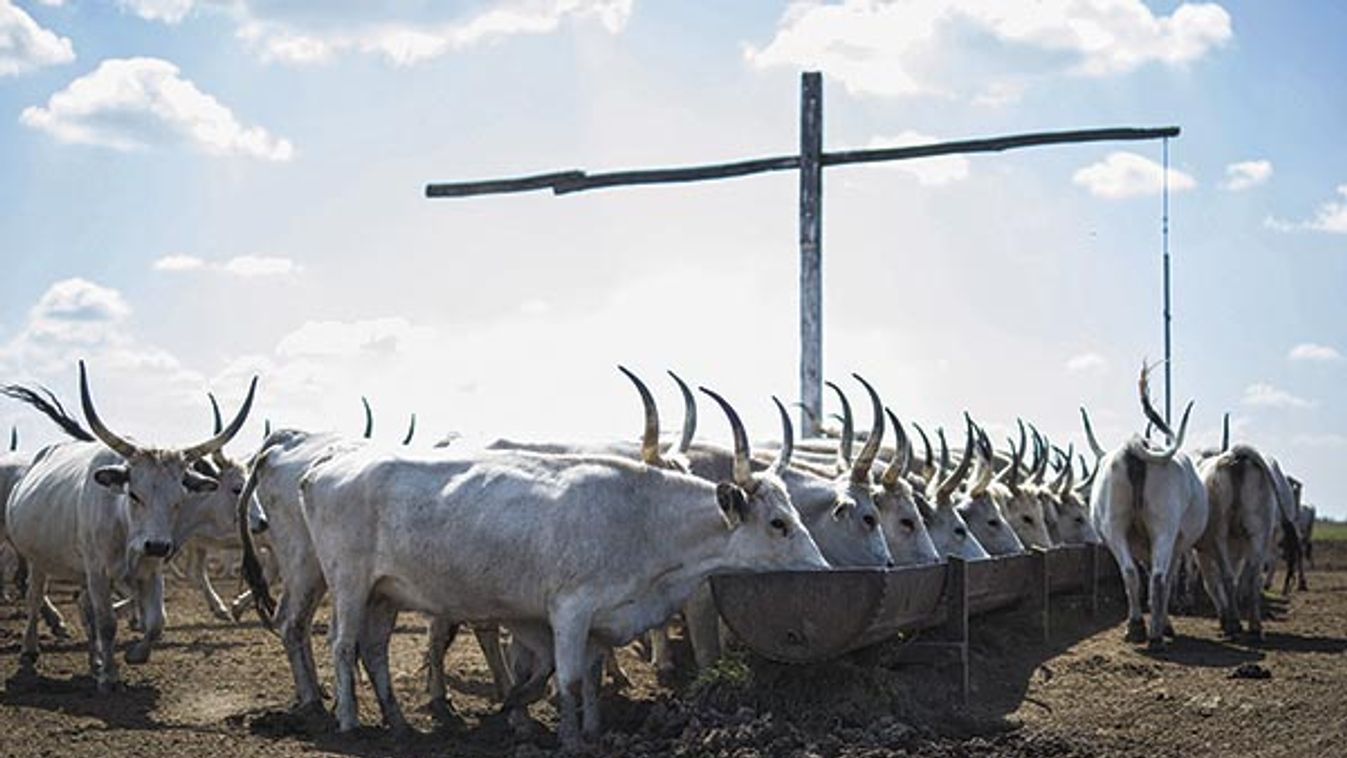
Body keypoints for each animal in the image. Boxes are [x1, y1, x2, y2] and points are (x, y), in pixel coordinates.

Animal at [5, 363, 254, 689]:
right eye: (134, 494)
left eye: (179, 498)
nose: (158, 544)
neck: (126, 528)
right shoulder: (98, 571)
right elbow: (108, 622)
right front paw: (109, 676)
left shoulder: (151, 569)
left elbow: (156, 621)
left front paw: (133, 655)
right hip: (38, 558)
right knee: (34, 596)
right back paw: (32, 646)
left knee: (81, 605)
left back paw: (93, 658)